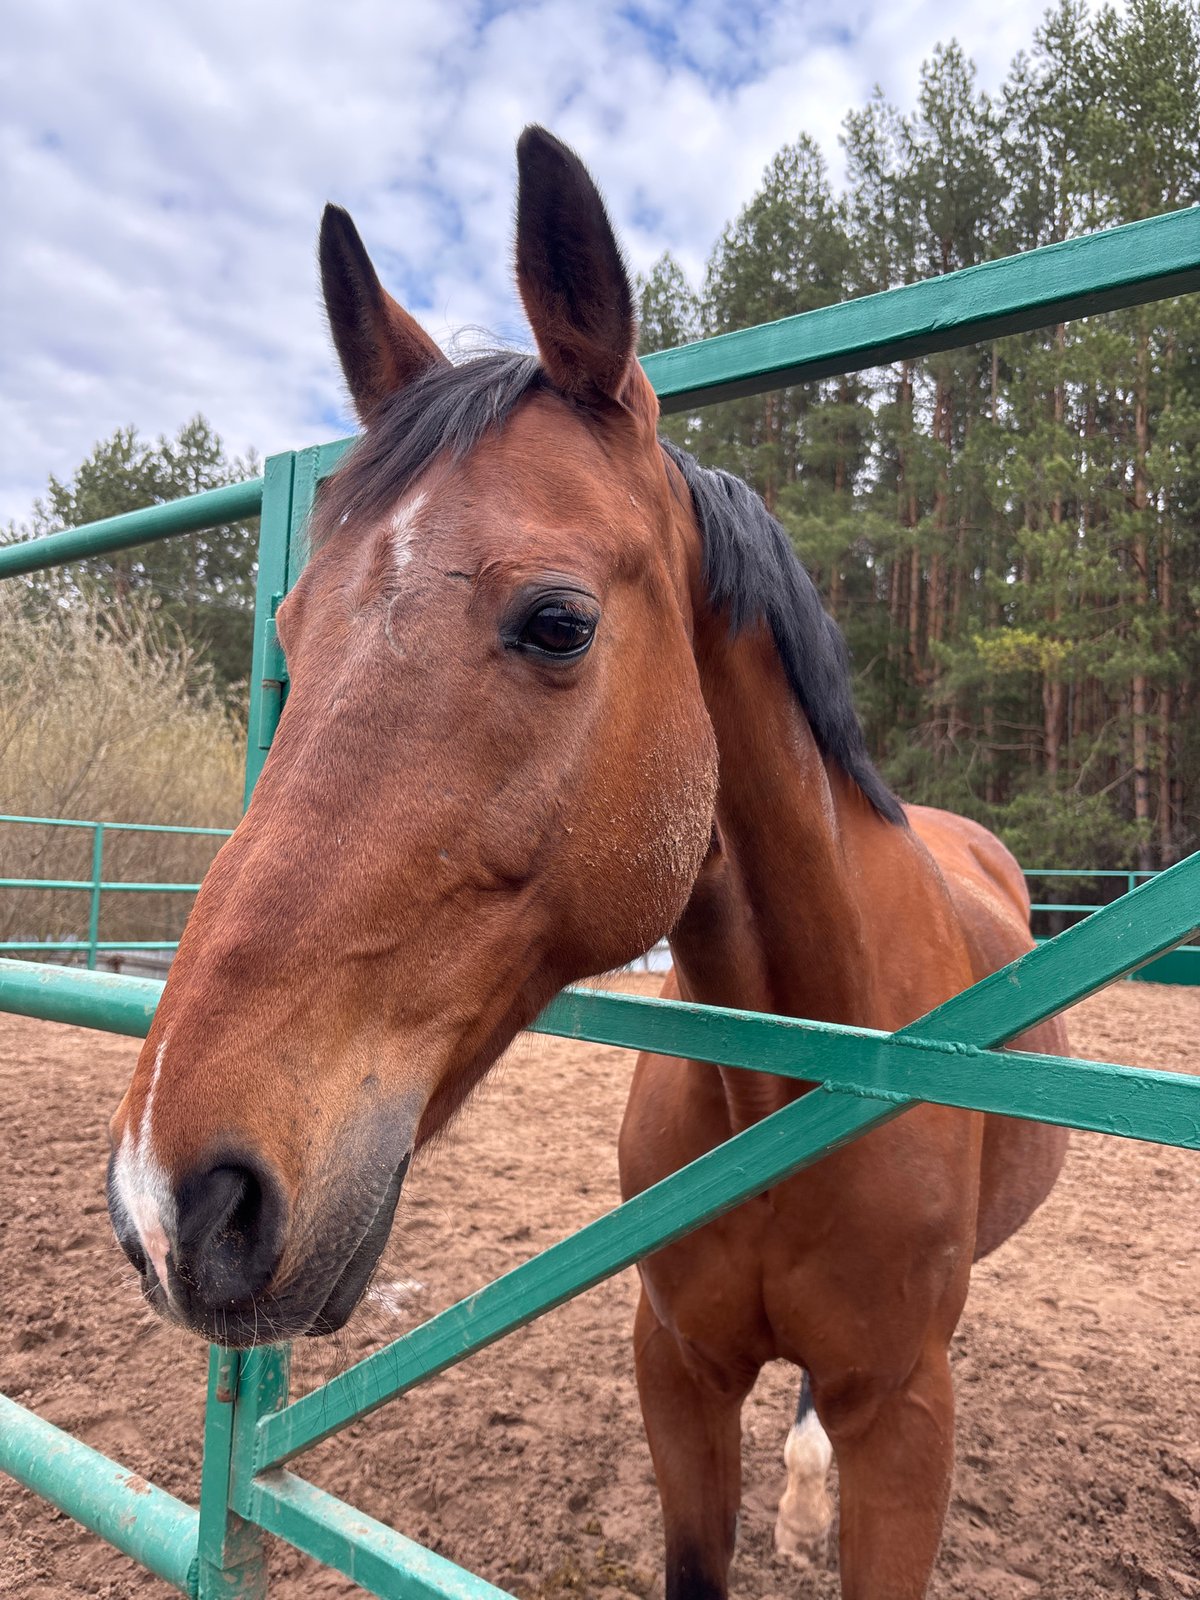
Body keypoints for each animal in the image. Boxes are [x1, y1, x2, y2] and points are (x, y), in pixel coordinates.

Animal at [106, 127, 1069, 1598]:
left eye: (556, 622)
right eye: (290, 628)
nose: (173, 1203)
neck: (803, 1082)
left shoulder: (907, 1414)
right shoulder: (674, 1369)